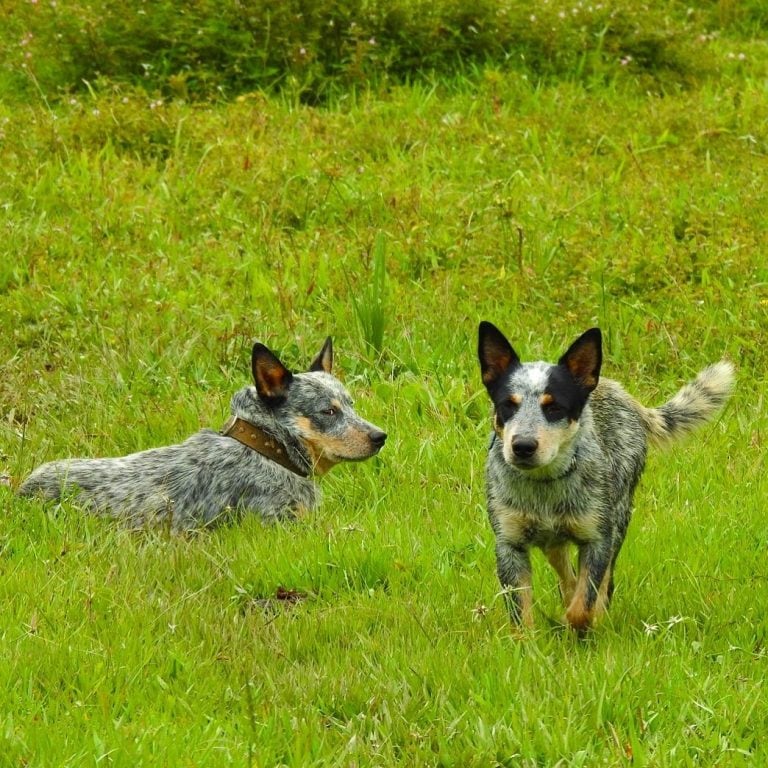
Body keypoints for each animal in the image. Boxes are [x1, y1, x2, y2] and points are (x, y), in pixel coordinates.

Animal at [476, 320, 736, 632]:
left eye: (554, 407)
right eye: (508, 404)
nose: (523, 446)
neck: (545, 485)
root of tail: (623, 394)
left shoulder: (598, 538)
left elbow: (583, 606)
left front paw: (583, 623)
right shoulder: (509, 545)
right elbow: (522, 618)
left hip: (619, 518)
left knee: (601, 581)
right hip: (553, 541)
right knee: (566, 572)